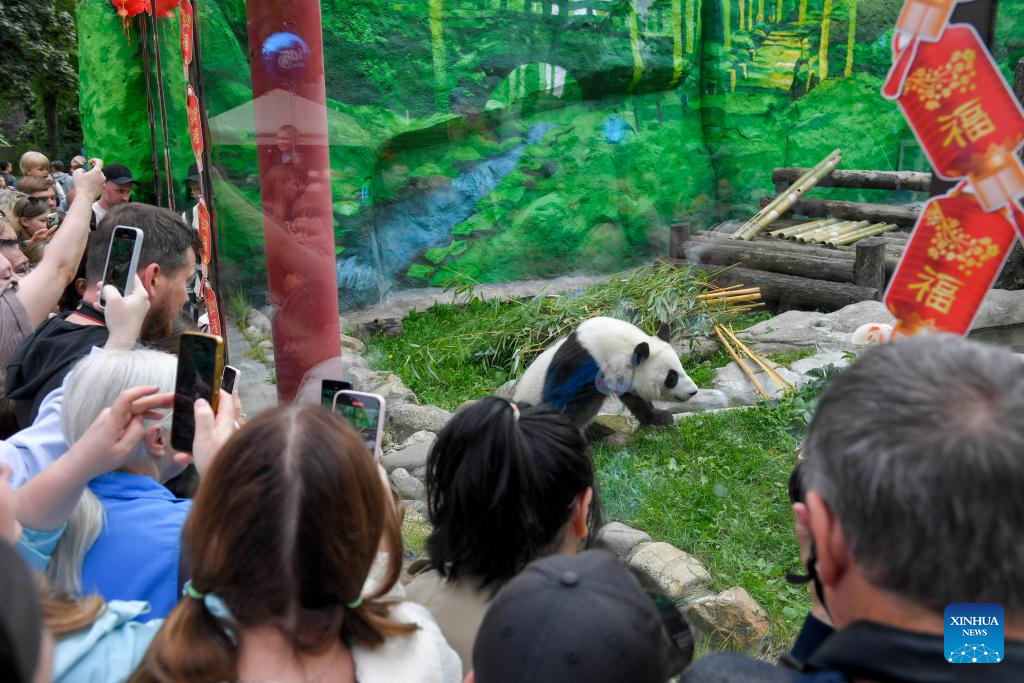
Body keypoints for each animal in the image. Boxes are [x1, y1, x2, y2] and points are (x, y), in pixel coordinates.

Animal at [513, 316, 699, 429]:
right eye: (672, 376)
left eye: (681, 368)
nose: (694, 391)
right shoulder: (579, 364)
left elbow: (636, 400)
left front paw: (660, 417)